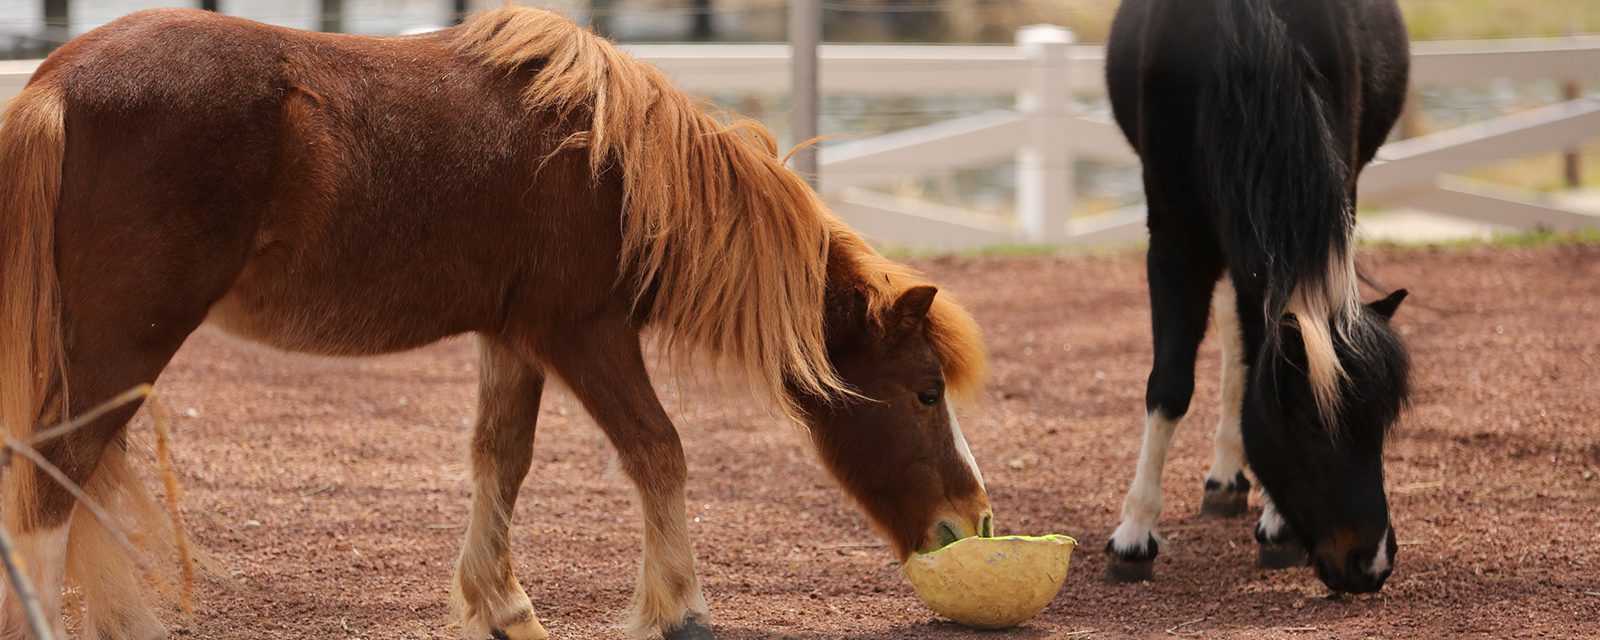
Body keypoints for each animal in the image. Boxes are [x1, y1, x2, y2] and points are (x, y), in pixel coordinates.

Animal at [0, 6, 992, 640]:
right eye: (925, 392)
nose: (972, 518)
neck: (614, 165)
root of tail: (55, 83)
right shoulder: (586, 332)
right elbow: (658, 451)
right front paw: (682, 611)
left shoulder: (513, 341)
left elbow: (499, 462)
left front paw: (504, 608)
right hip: (127, 343)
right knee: (51, 478)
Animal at [1100, 0, 1414, 595]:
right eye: (1310, 420)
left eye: (1382, 423)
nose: (1373, 563)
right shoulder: (1175, 235)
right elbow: (1170, 386)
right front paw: (1133, 534)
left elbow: (1256, 368)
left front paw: (1277, 527)